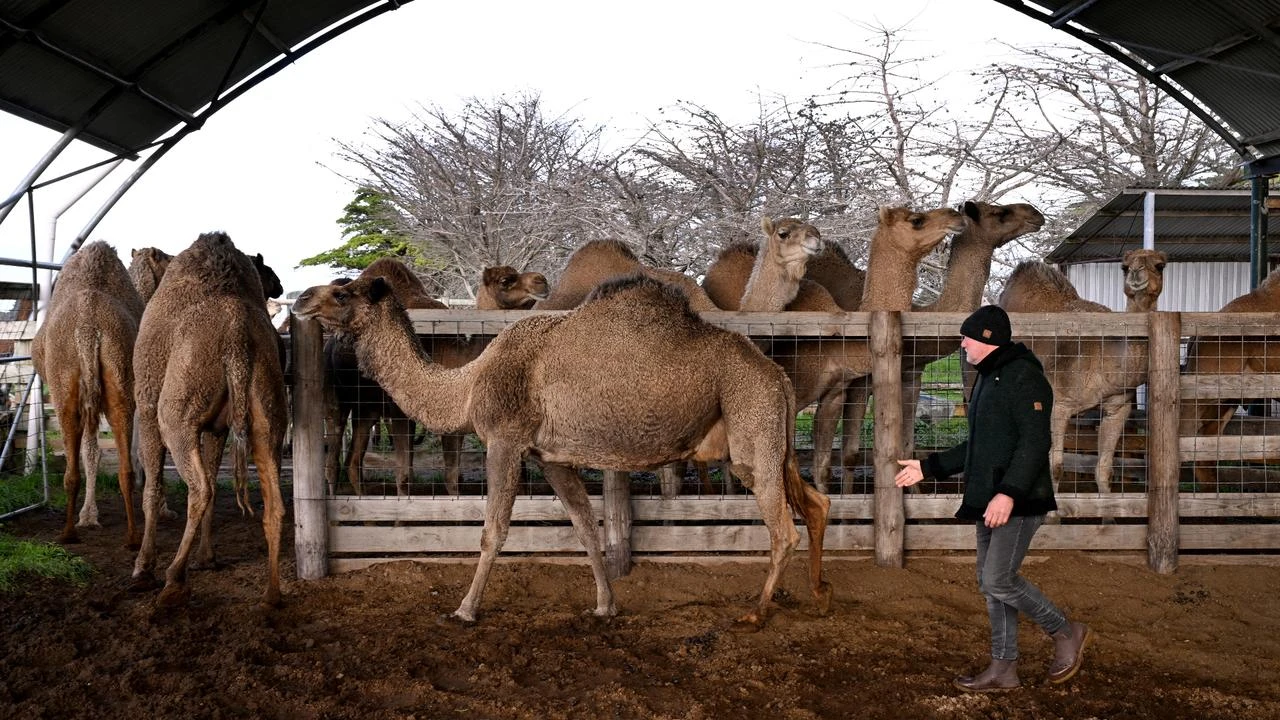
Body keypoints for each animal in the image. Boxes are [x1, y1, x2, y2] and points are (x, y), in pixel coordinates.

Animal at [31, 240, 143, 548]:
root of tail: (87, 329)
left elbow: (90, 450)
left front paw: (89, 516)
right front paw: (90, 515)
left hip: (64, 388)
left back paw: (68, 533)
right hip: (119, 380)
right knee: (124, 468)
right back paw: (132, 537)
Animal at [130, 231, 287, 608]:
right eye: (266, 270)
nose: (279, 285)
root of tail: (236, 337)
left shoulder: (147, 409)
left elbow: (153, 488)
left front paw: (142, 568)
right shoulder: (217, 427)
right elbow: (216, 485)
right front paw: (207, 558)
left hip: (174, 417)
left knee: (198, 488)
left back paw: (173, 581)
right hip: (268, 416)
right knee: (273, 503)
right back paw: (272, 595)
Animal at [294, 273, 832, 628]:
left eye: (342, 291)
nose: (300, 299)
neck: (469, 385)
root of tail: (776, 376)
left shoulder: (505, 440)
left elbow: (493, 532)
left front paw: (465, 609)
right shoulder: (549, 457)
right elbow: (585, 527)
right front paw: (605, 605)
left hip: (751, 425)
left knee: (784, 528)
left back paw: (757, 612)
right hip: (773, 439)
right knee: (816, 502)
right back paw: (817, 591)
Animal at [998, 249, 1167, 494]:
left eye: (1160, 265)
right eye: (1124, 266)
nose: (1136, 273)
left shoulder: (1119, 408)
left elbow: (1104, 469)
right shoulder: (1059, 405)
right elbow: (1056, 467)